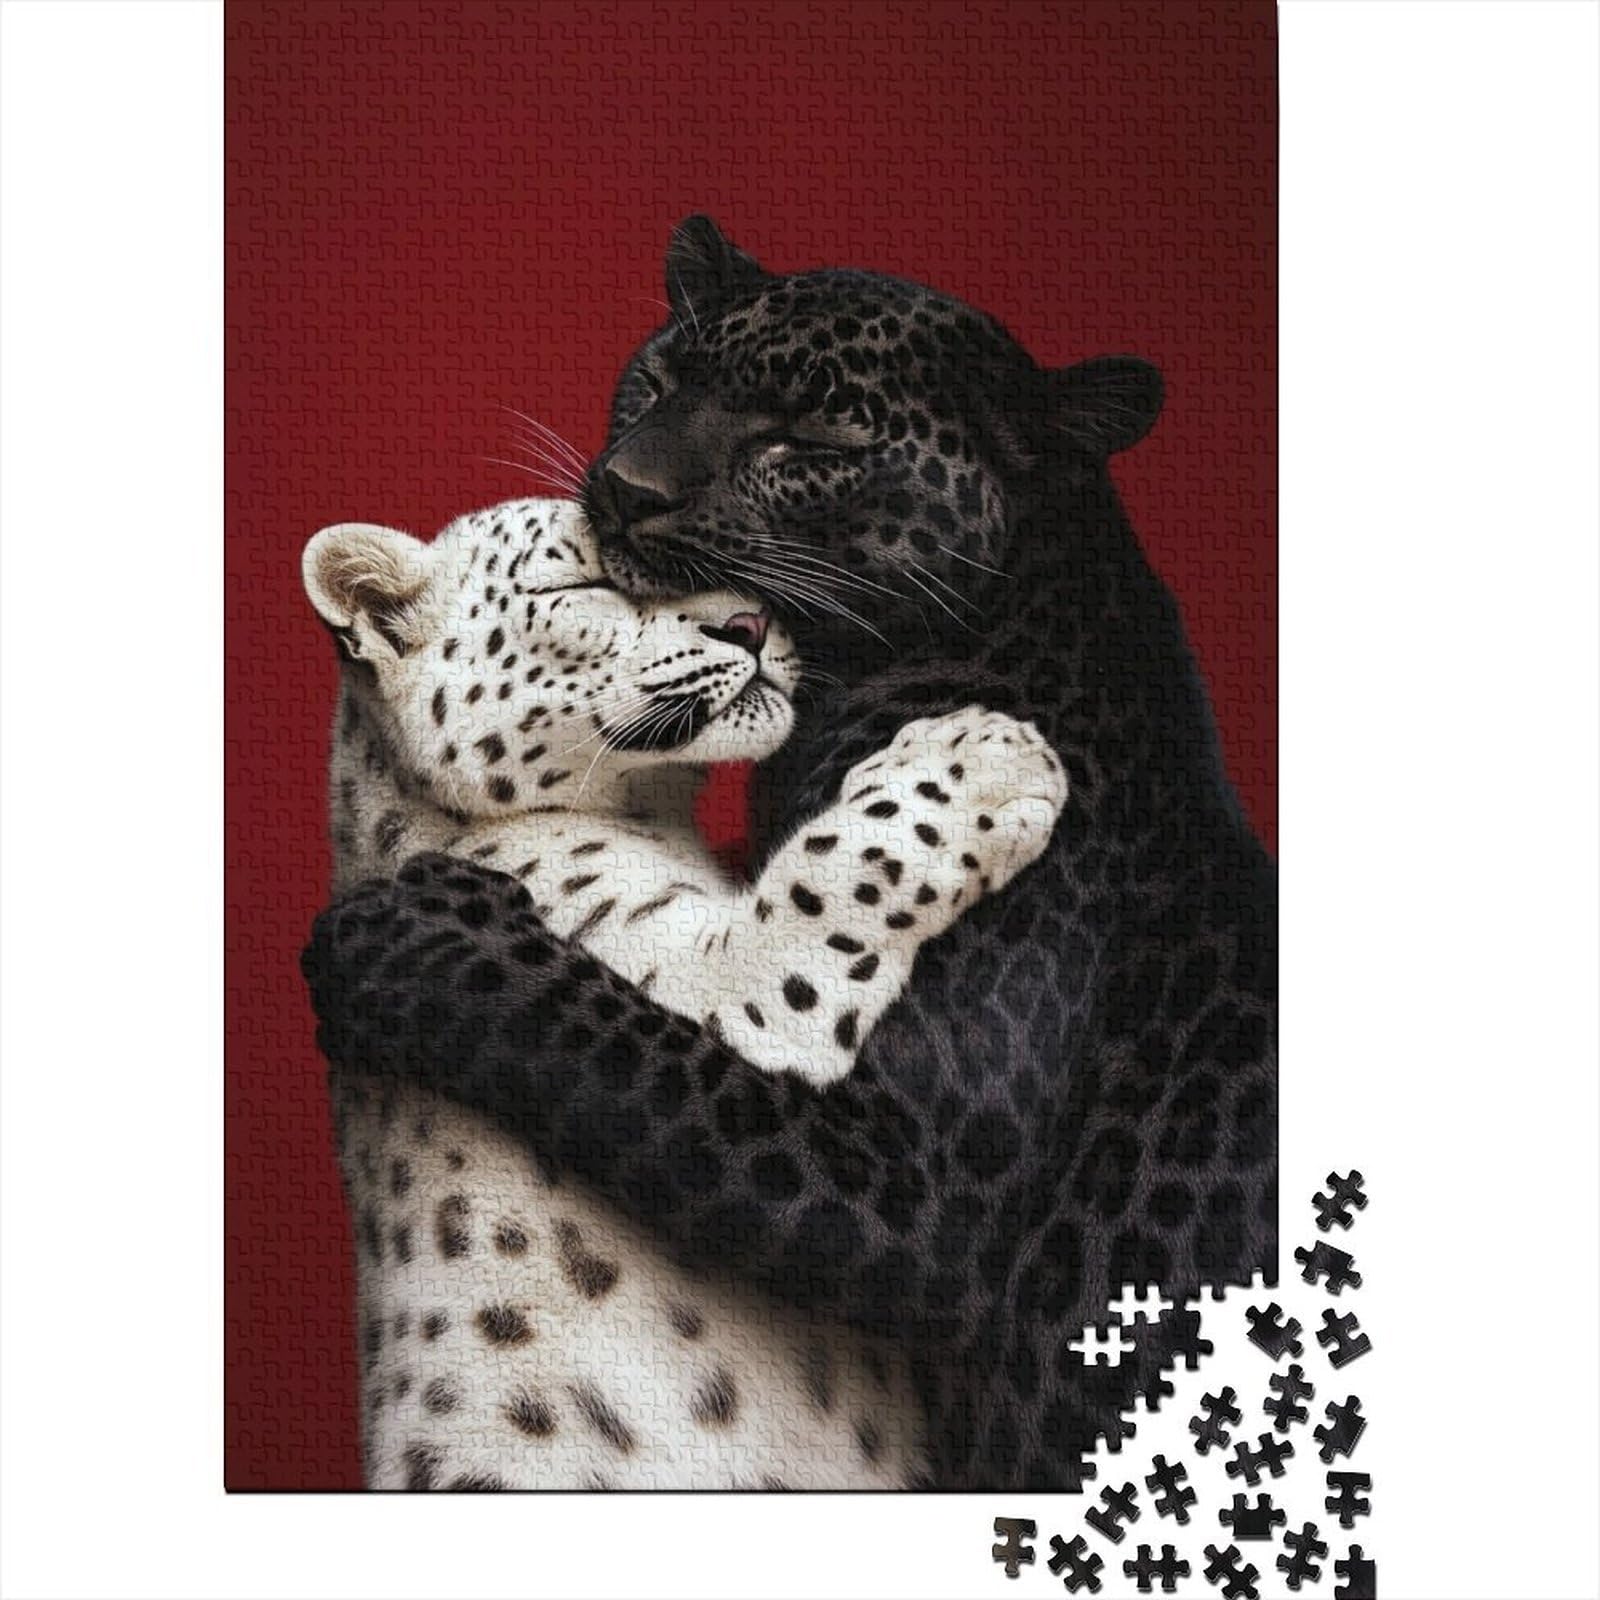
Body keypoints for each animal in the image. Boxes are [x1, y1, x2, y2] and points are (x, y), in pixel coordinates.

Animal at [304, 493, 1065, 1487]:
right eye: (584, 581)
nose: (750, 621)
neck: (655, 814)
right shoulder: (714, 986)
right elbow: (829, 871)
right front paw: (986, 753)